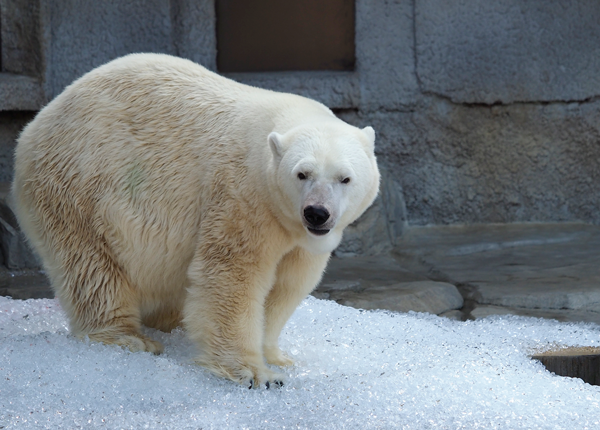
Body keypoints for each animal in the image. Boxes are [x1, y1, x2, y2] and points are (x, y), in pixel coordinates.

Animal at [11, 53, 380, 386]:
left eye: (345, 178)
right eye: (302, 173)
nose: (317, 212)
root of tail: (34, 127)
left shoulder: (297, 235)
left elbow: (287, 285)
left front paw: (277, 357)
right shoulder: (243, 194)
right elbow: (233, 275)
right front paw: (253, 373)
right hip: (78, 185)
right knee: (92, 268)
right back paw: (126, 337)